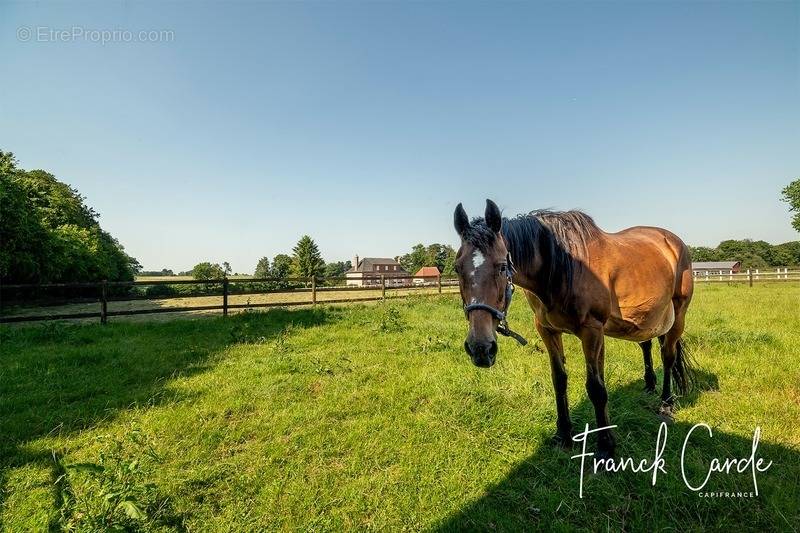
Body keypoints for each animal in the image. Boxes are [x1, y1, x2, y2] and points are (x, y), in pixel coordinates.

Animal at [456, 200, 692, 458]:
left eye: (501, 267)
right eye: (457, 268)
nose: (480, 349)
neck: (560, 267)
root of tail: (673, 241)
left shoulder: (592, 331)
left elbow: (596, 388)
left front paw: (605, 446)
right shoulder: (547, 330)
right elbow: (559, 380)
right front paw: (563, 434)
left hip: (678, 313)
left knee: (668, 356)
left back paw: (666, 403)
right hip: (643, 318)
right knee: (646, 344)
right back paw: (649, 385)